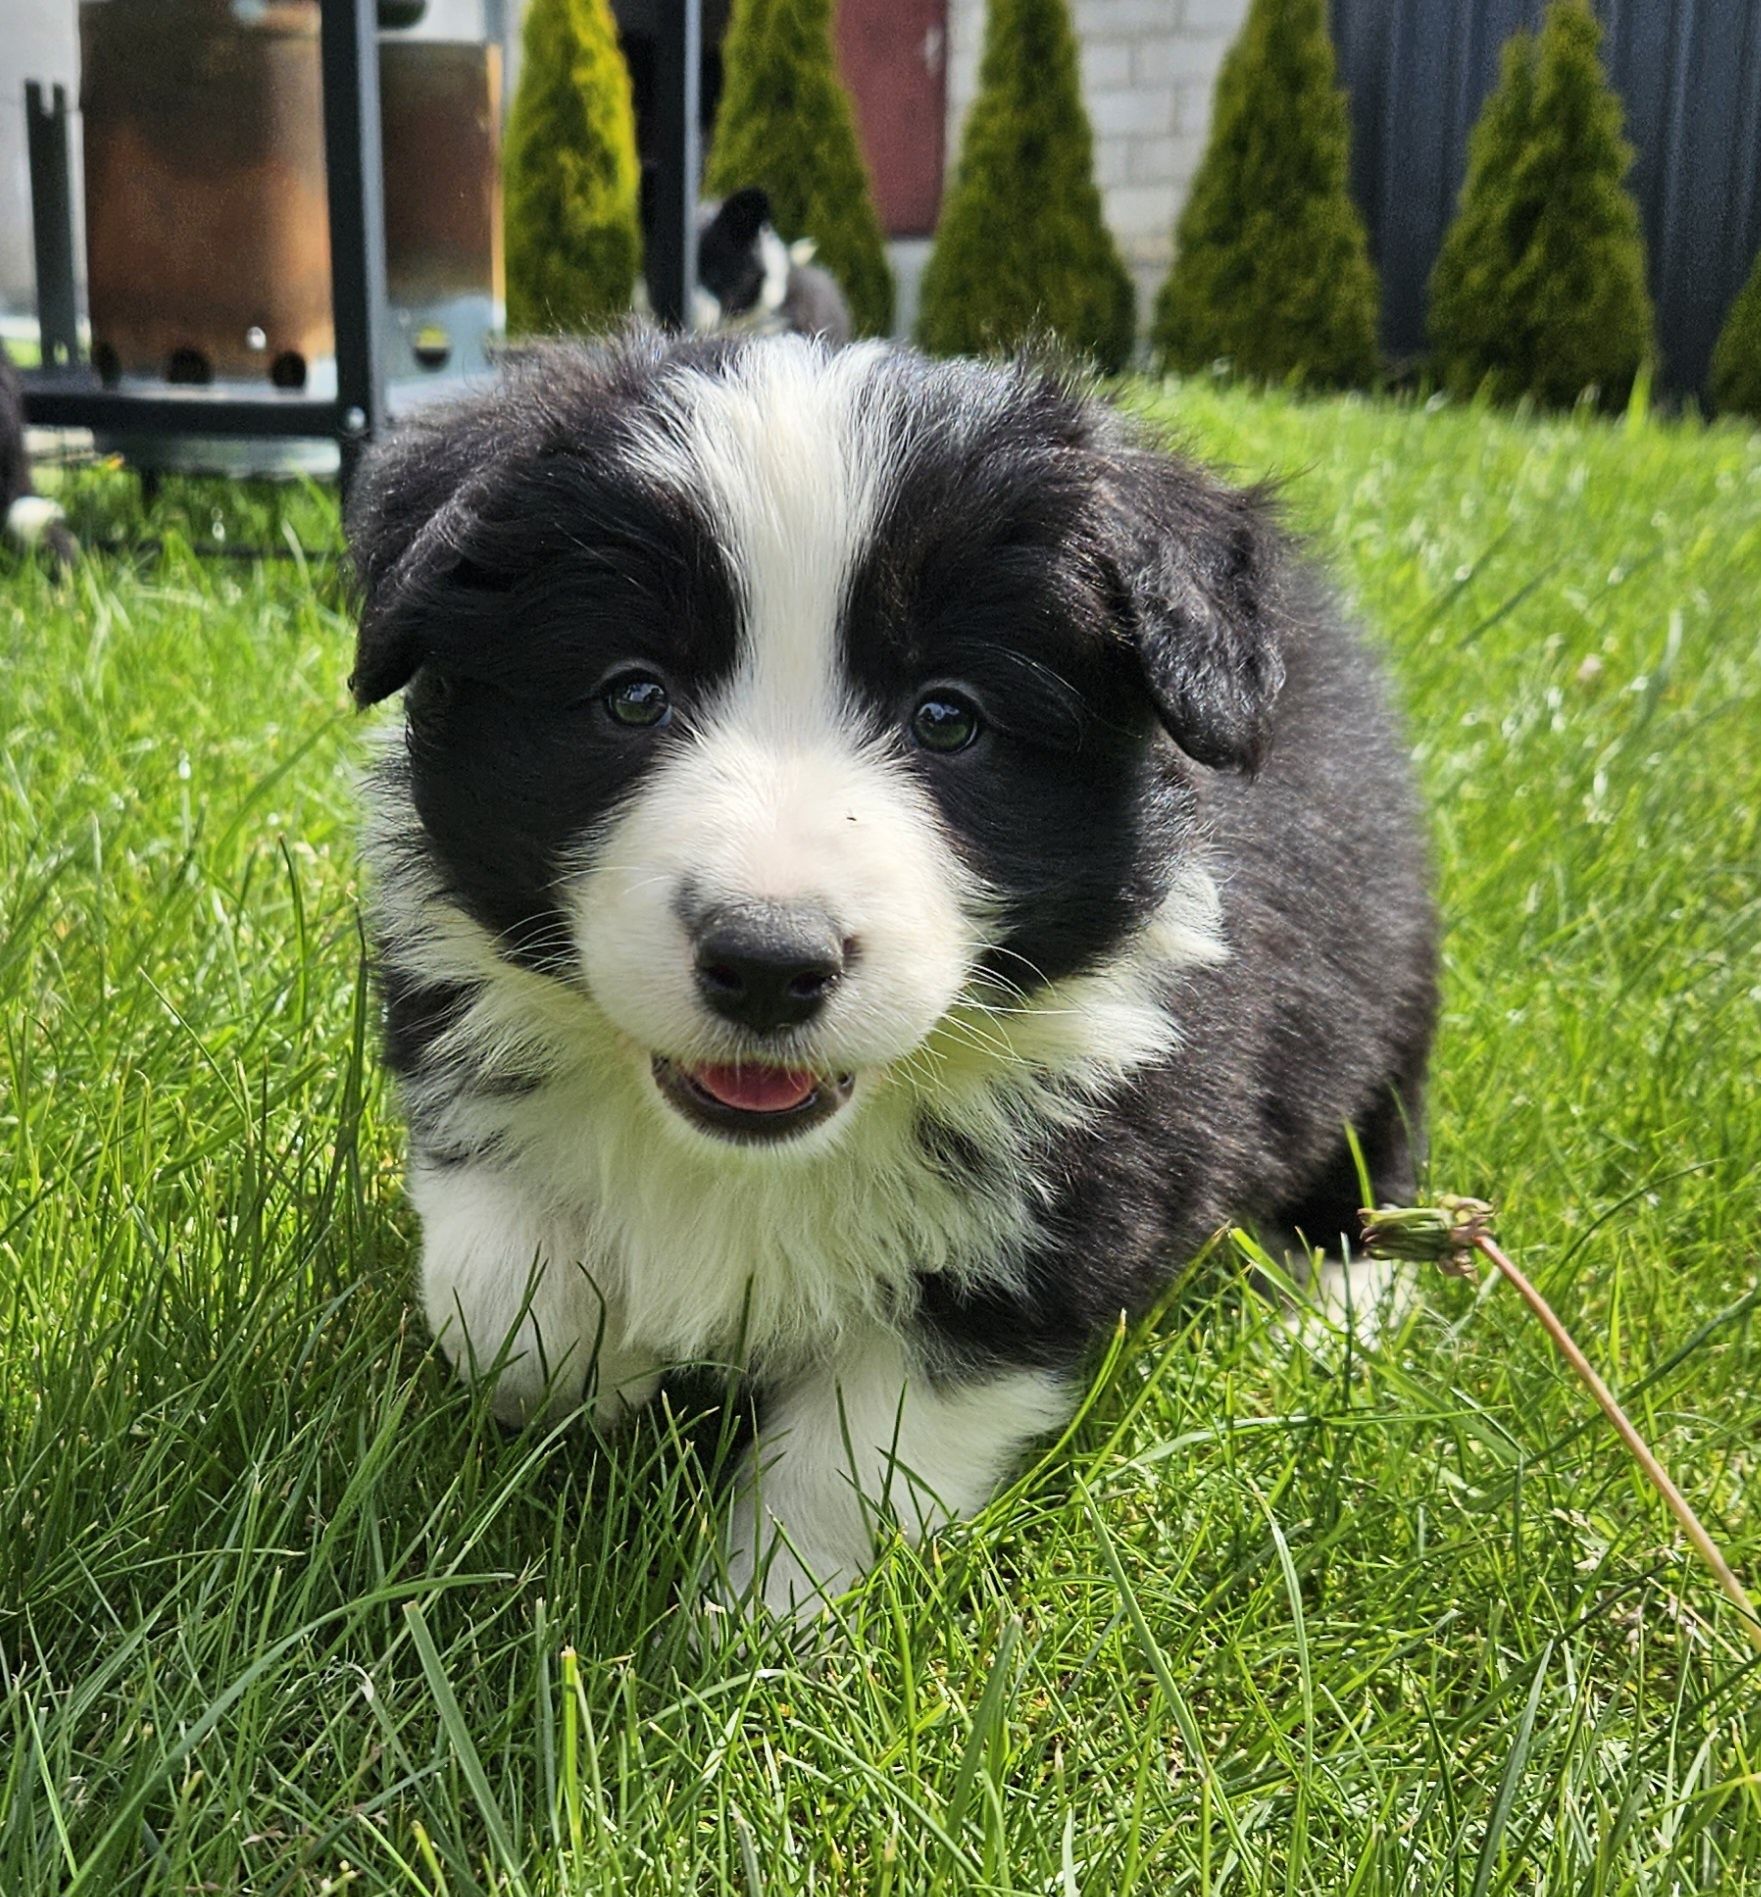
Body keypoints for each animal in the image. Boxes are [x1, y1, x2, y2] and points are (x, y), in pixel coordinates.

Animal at [351, 333, 1434, 1623]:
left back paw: (1338, 1317)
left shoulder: (1073, 1202)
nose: (769, 961)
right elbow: (497, 1286)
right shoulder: (462, 1026)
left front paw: (762, 1618)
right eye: (631, 695)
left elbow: (865, 1445)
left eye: (949, 718)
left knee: (1375, 1150)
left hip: (1379, 986)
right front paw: (593, 1359)